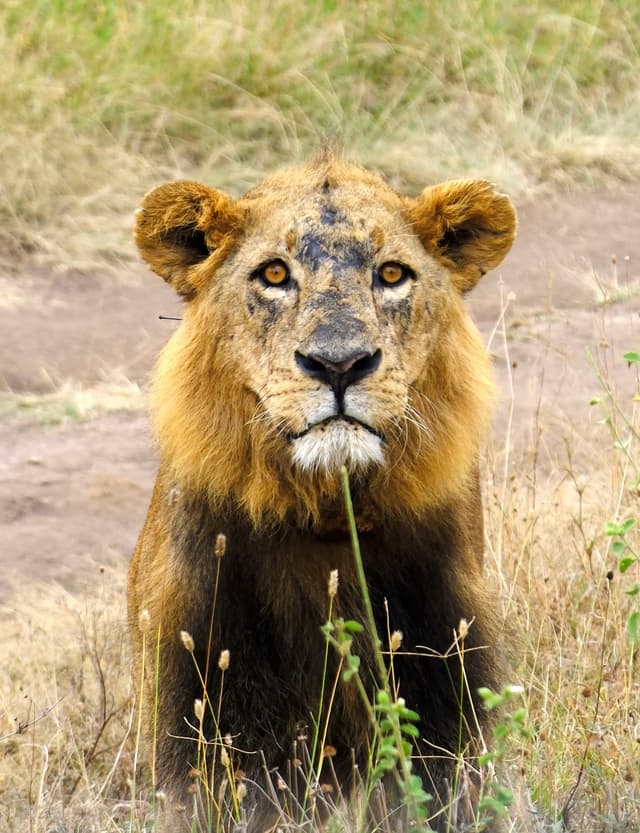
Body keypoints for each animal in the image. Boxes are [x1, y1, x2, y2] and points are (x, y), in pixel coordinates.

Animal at [128, 149, 516, 832]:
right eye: (274, 274)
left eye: (391, 274)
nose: (339, 364)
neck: (327, 516)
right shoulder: (196, 718)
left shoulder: (448, 703)